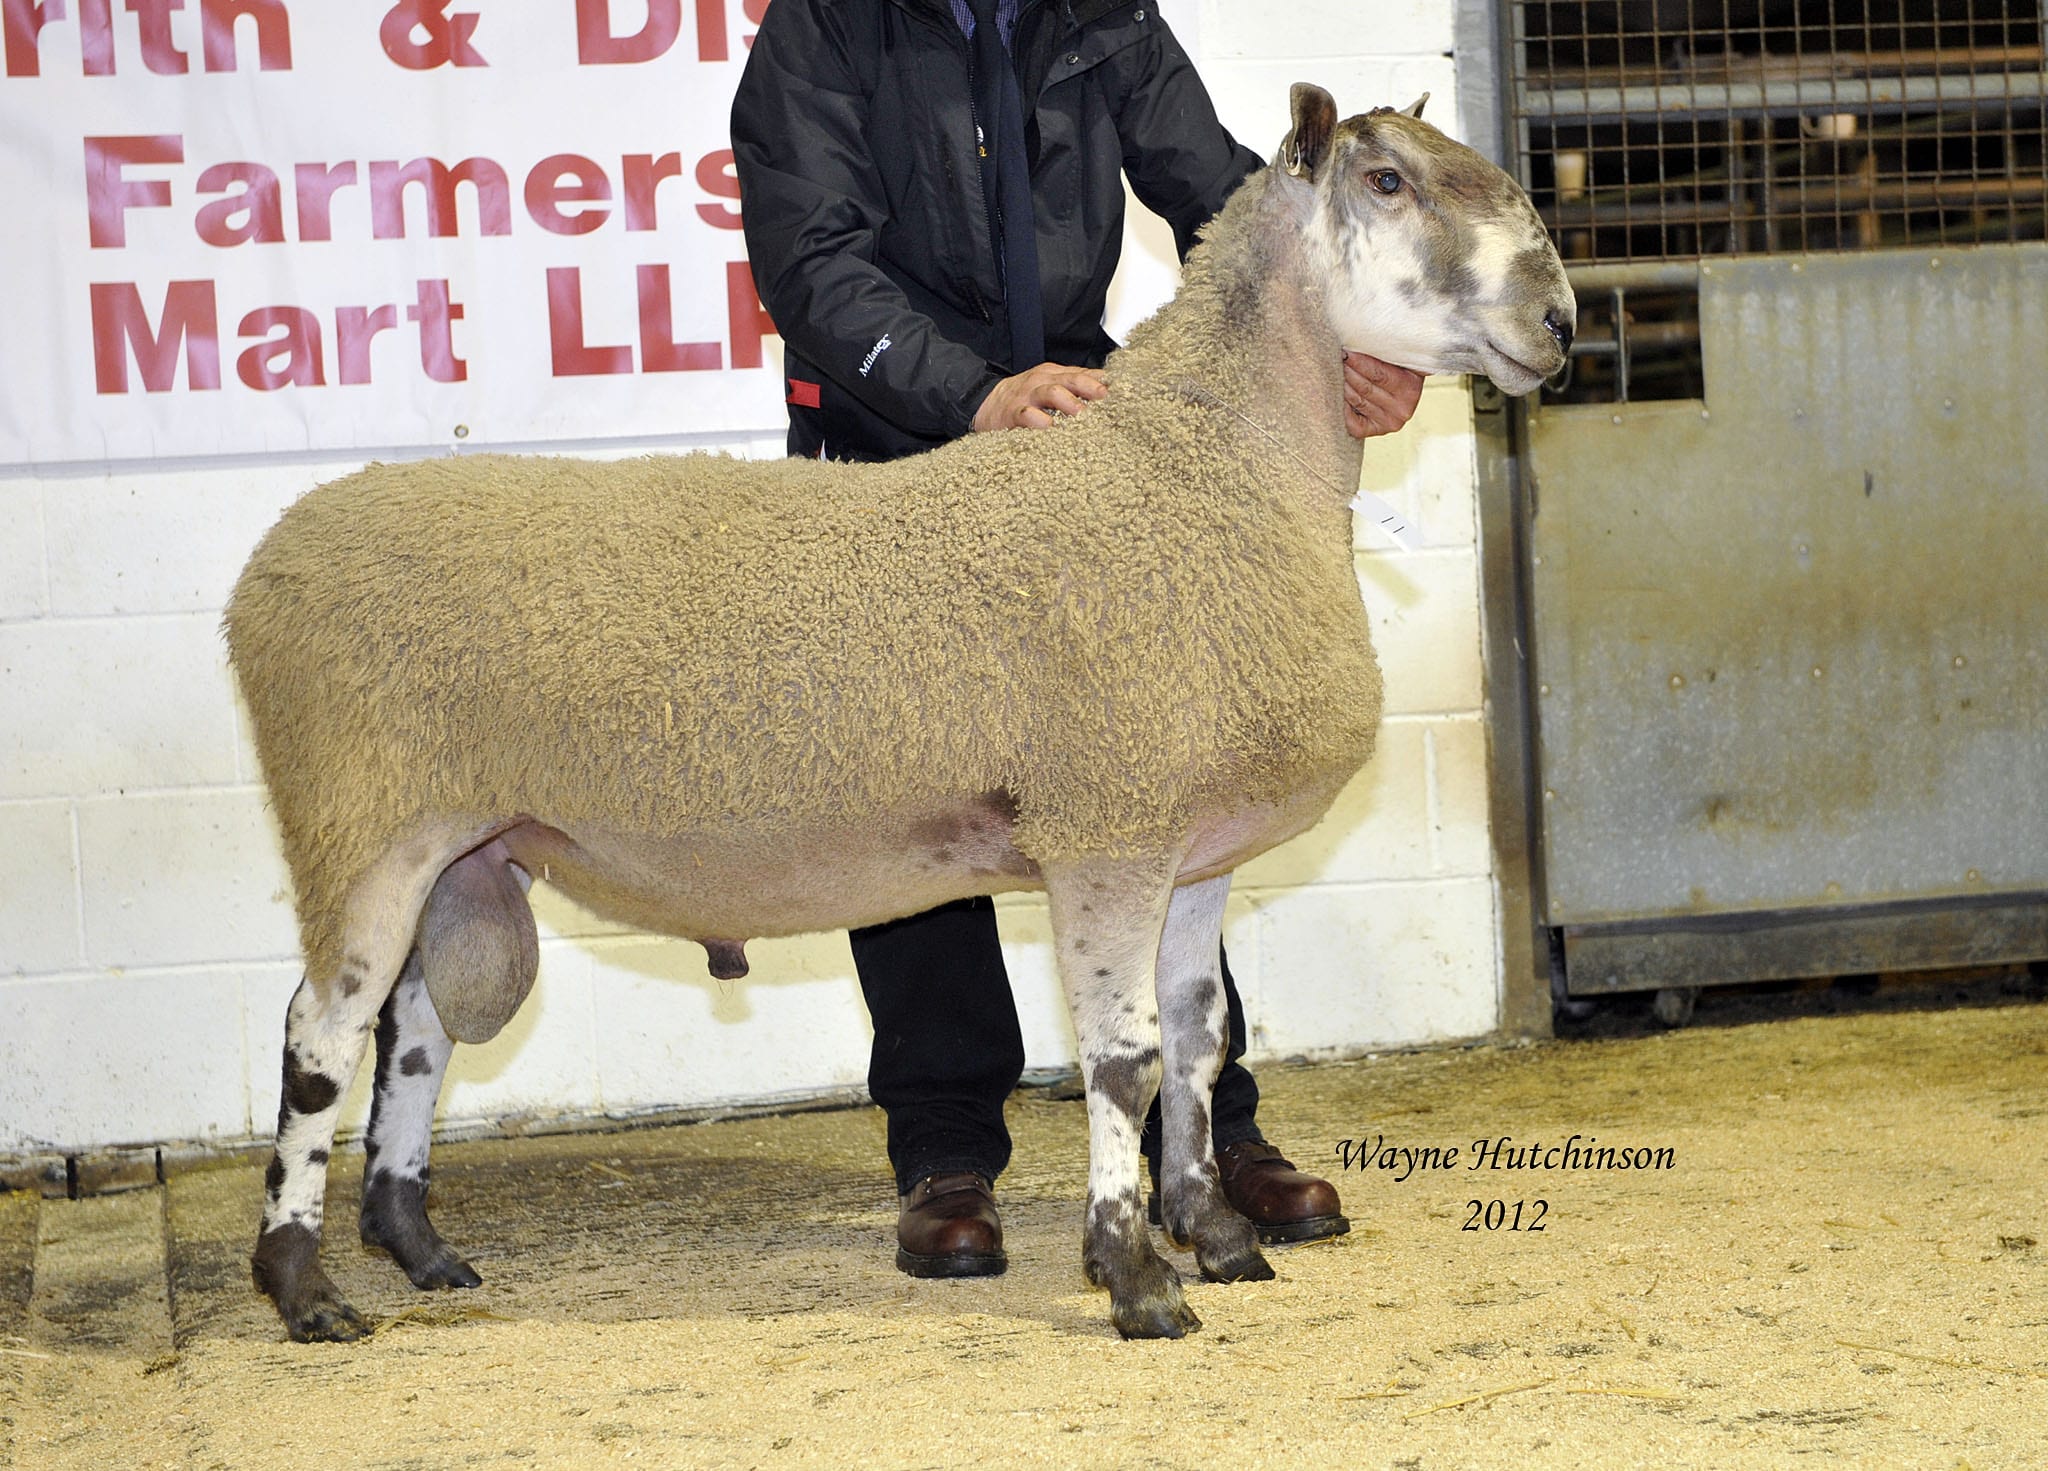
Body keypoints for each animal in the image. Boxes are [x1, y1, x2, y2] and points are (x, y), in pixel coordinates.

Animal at [228, 83, 1564, 1352]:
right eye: (1386, 182)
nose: (1554, 323)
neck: (1203, 467)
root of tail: (273, 558)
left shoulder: (1189, 846)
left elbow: (1196, 1043)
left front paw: (1218, 1236)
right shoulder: (1105, 827)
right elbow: (1121, 1059)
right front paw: (1134, 1276)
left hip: (458, 840)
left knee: (412, 1029)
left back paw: (417, 1246)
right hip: (360, 815)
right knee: (320, 1033)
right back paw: (302, 1288)